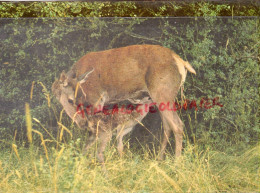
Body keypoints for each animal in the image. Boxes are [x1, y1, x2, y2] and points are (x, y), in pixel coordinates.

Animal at [52, 44, 195, 161]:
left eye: (71, 99)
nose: (81, 123)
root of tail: (181, 62)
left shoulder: (97, 99)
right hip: (160, 98)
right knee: (167, 126)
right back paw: (159, 159)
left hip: (163, 92)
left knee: (177, 125)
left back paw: (177, 162)